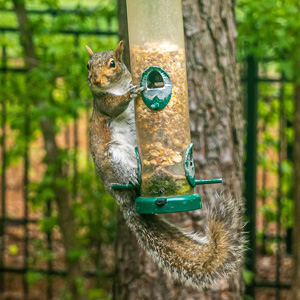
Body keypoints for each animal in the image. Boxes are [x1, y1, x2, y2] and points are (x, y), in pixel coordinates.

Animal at [84, 41, 244, 290]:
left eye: (112, 63)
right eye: (88, 66)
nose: (96, 80)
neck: (115, 87)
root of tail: (116, 194)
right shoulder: (103, 102)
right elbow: (114, 106)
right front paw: (131, 94)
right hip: (114, 158)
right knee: (126, 178)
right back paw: (132, 178)